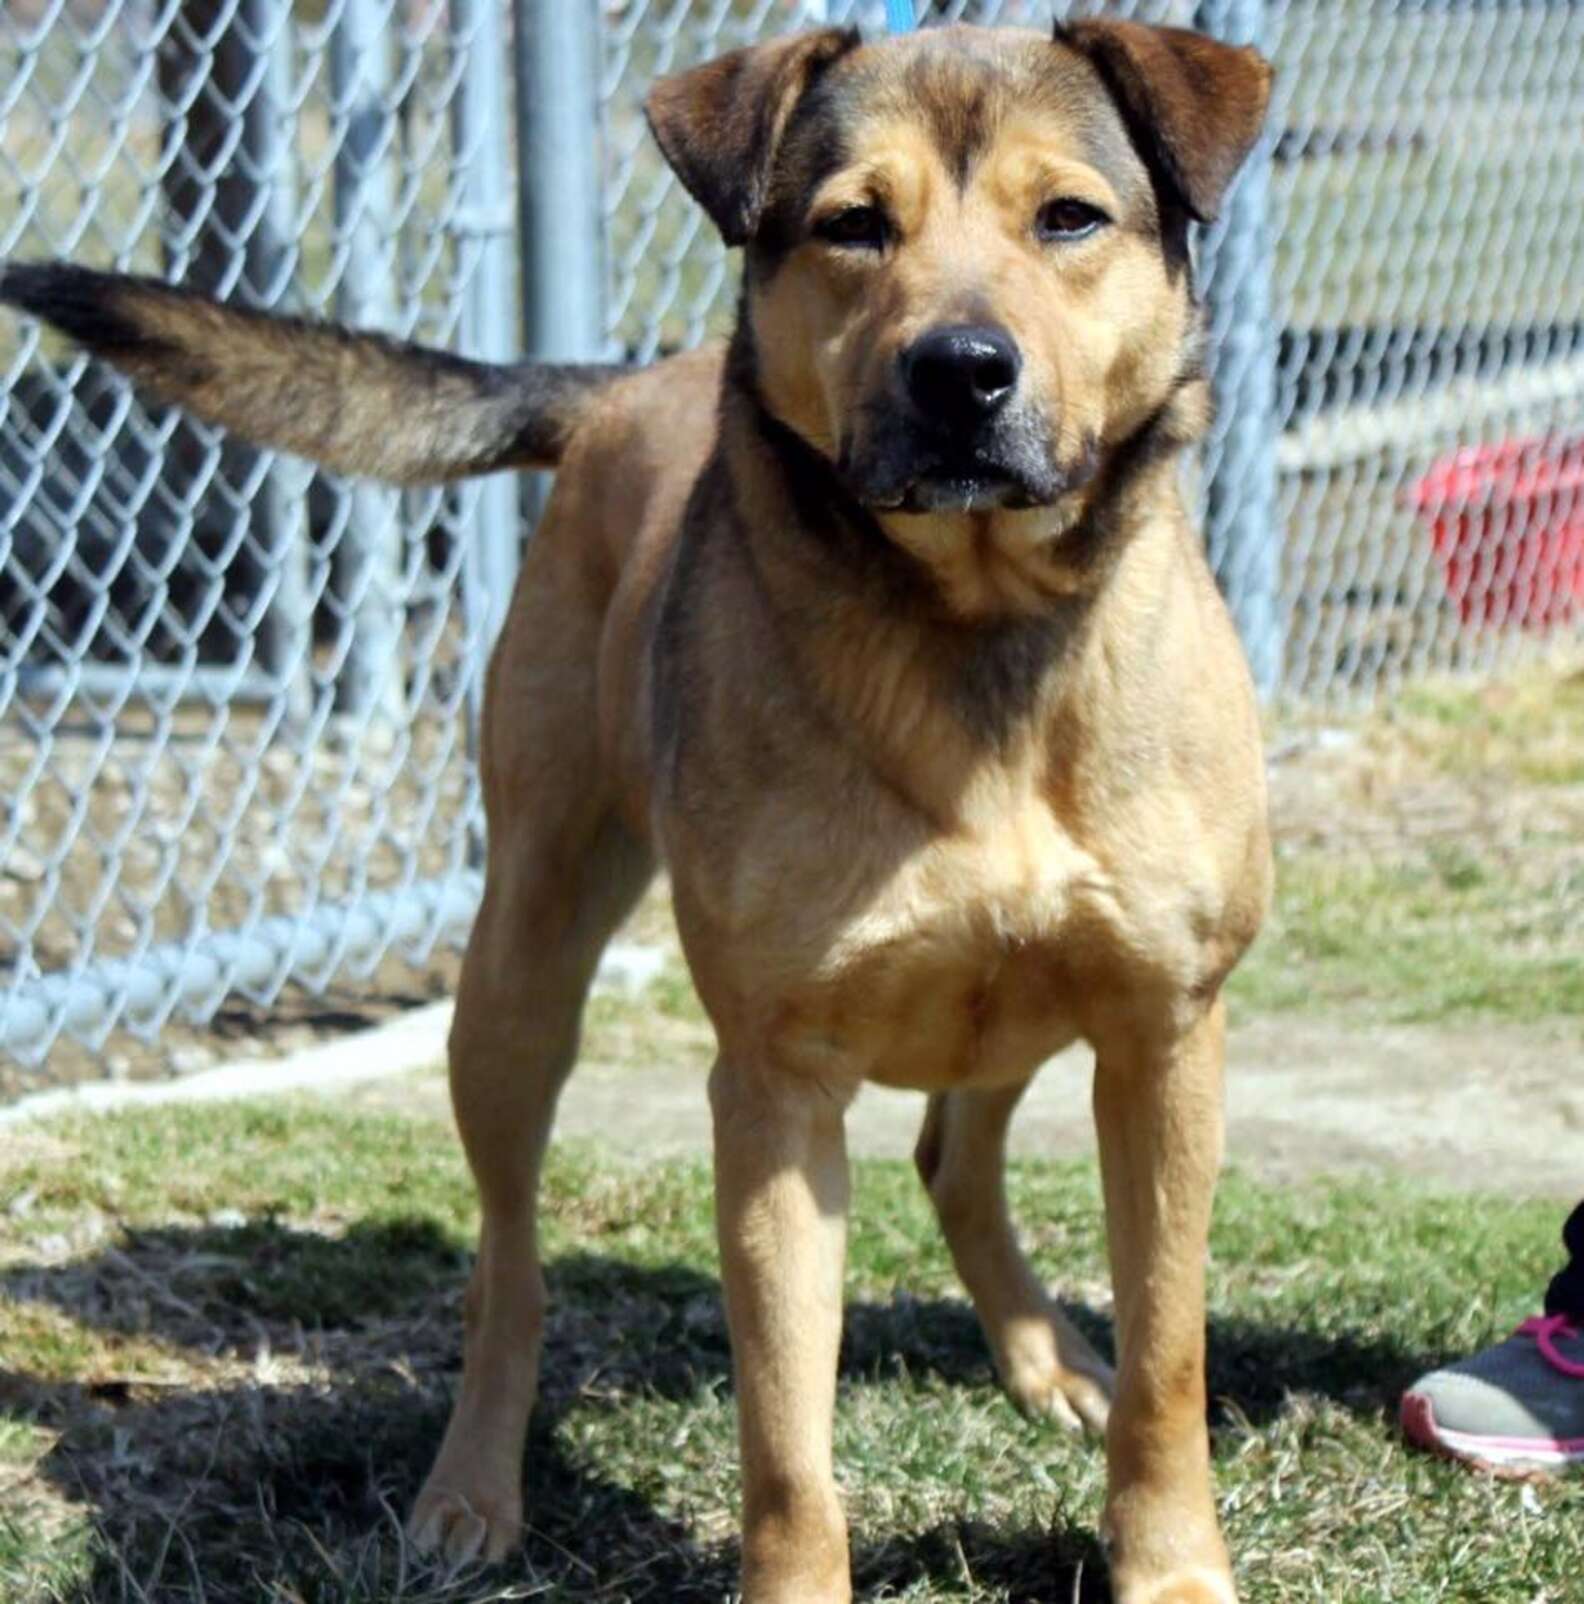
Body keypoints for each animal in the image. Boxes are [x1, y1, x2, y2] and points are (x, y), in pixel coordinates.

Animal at [0, 18, 1276, 1597]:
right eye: (855, 225)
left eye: (1071, 219)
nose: (961, 371)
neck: (974, 628)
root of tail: (615, 385)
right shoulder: (774, 1088)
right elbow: (786, 1437)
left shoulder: (1163, 1034)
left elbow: (1170, 1361)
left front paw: (1168, 1558)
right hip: (519, 970)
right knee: (507, 1270)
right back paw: (471, 1488)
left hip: (1032, 1005)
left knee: (953, 1152)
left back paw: (1049, 1361)